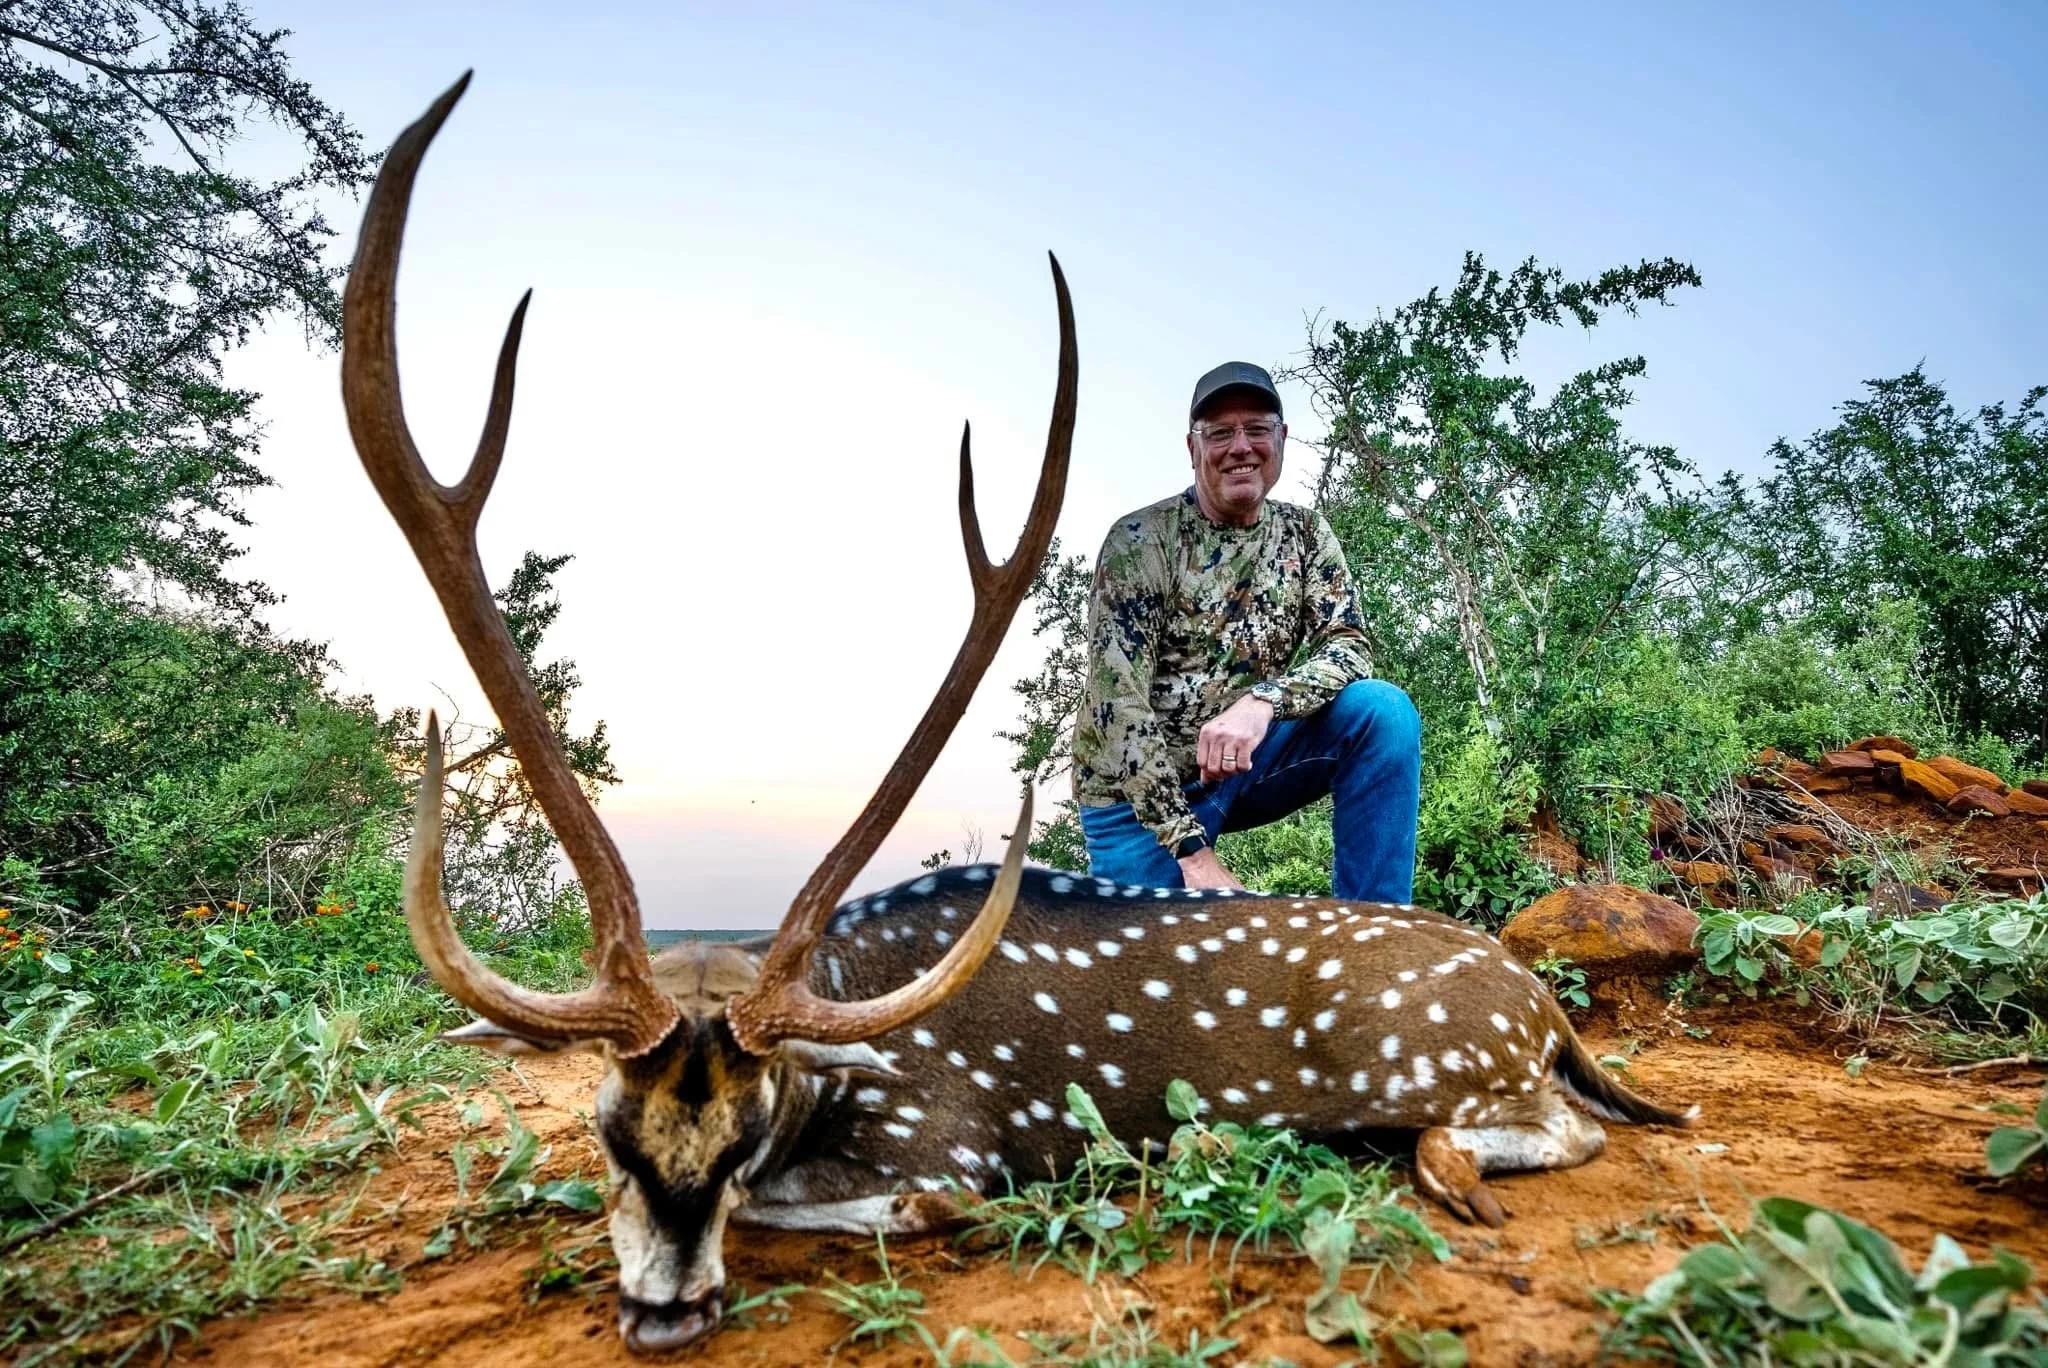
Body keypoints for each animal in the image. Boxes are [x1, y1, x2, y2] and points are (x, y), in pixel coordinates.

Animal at [344, 75, 1700, 1356]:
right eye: (610, 1131)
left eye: (744, 1133)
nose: (667, 1311)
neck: (846, 1026)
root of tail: (1539, 1000)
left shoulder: (943, 1137)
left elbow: (904, 1202)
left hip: (1440, 1060)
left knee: (1562, 1124)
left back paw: (1406, 1159)